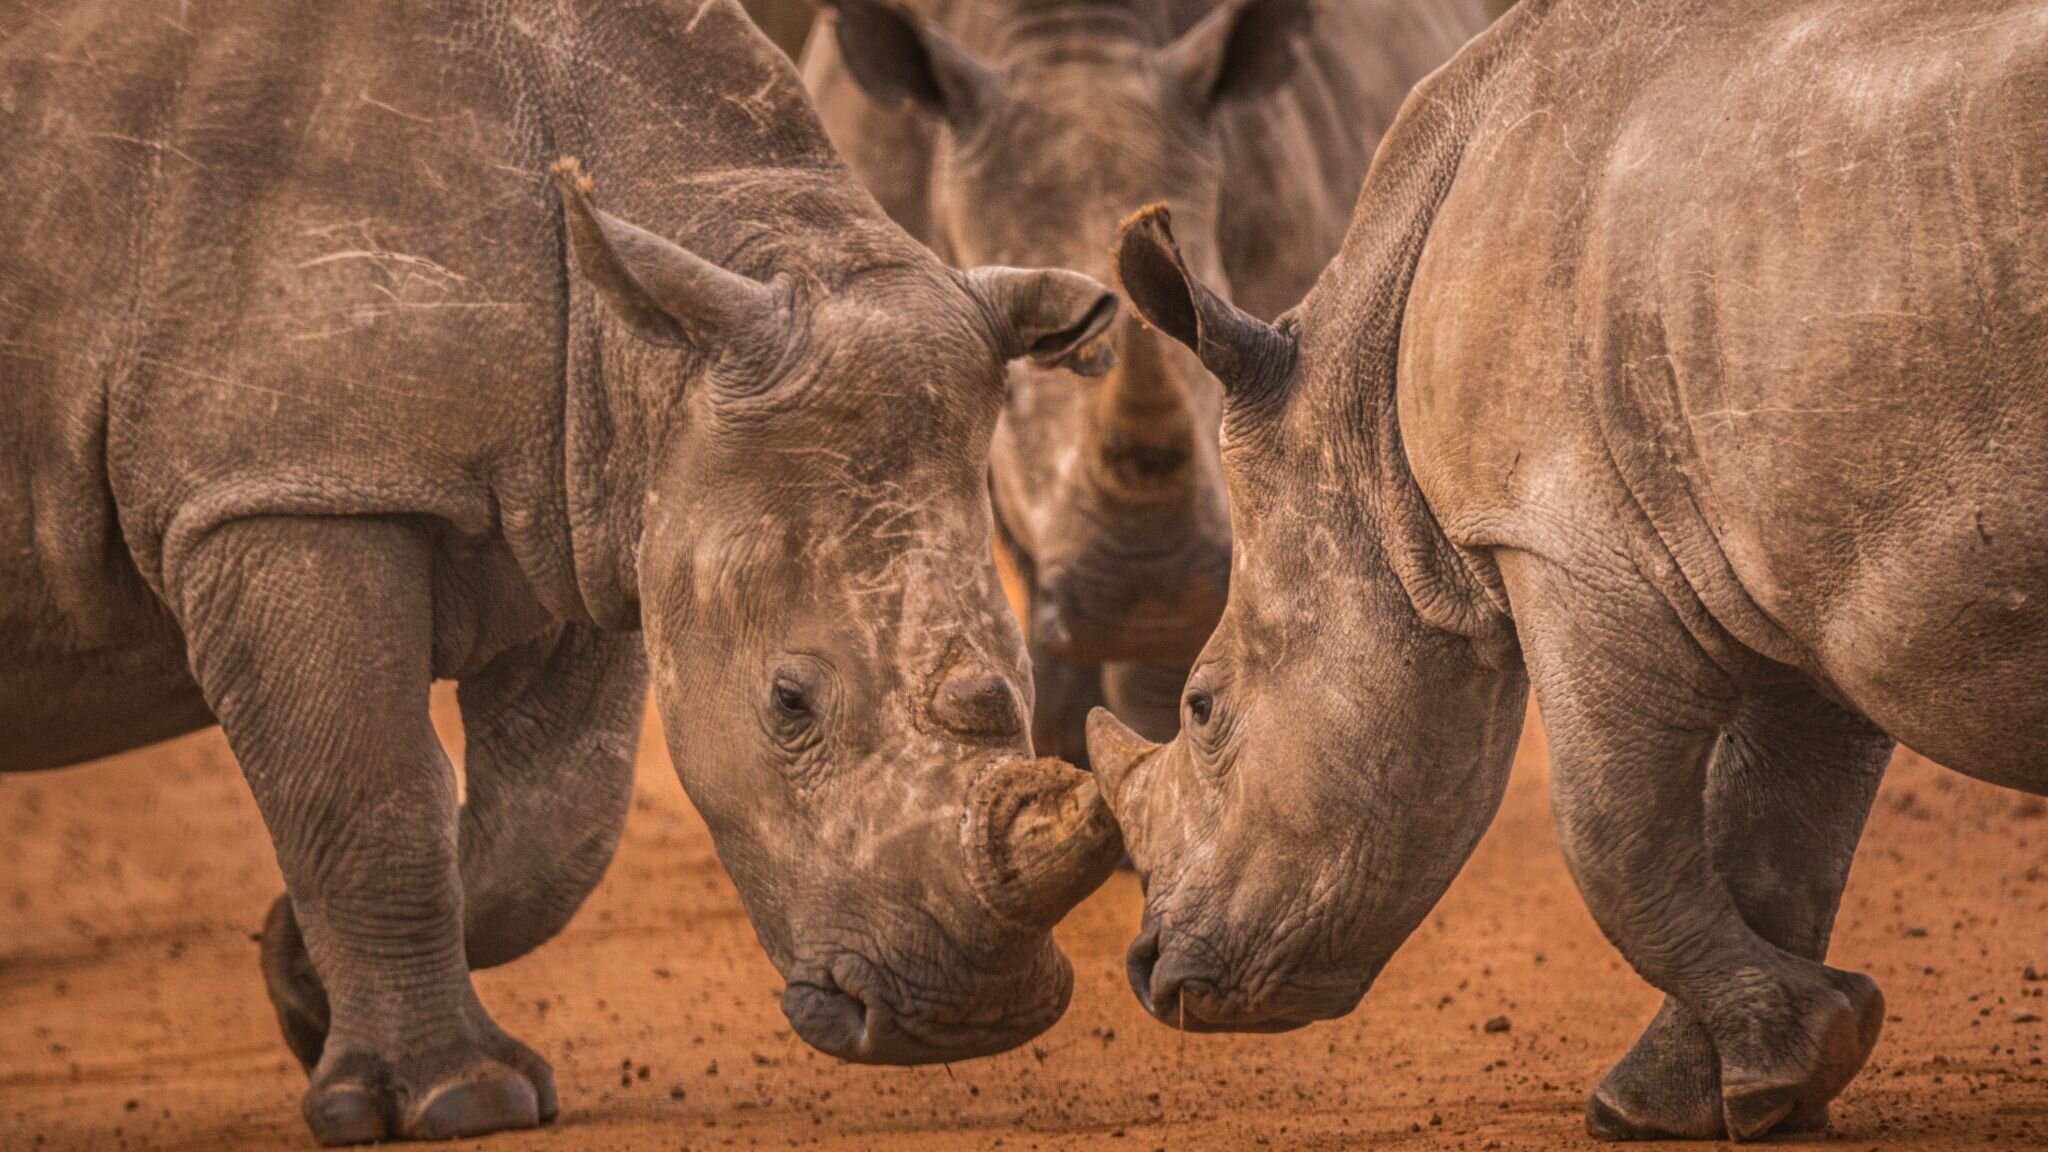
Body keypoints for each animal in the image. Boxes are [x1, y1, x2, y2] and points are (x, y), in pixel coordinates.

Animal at [0, 0, 1122, 1139]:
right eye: (790, 702)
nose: (970, 1017)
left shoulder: (600, 502)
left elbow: (558, 822)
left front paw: (298, 978)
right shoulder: (284, 486)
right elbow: (374, 797)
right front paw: (457, 1100)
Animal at [1097, 0, 2048, 1131]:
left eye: (1201, 708)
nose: (1147, 972)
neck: (1360, 421)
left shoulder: (1566, 538)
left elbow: (1608, 831)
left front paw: (1789, 1055)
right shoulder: (1803, 562)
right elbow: (1779, 832)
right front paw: (1713, 1097)